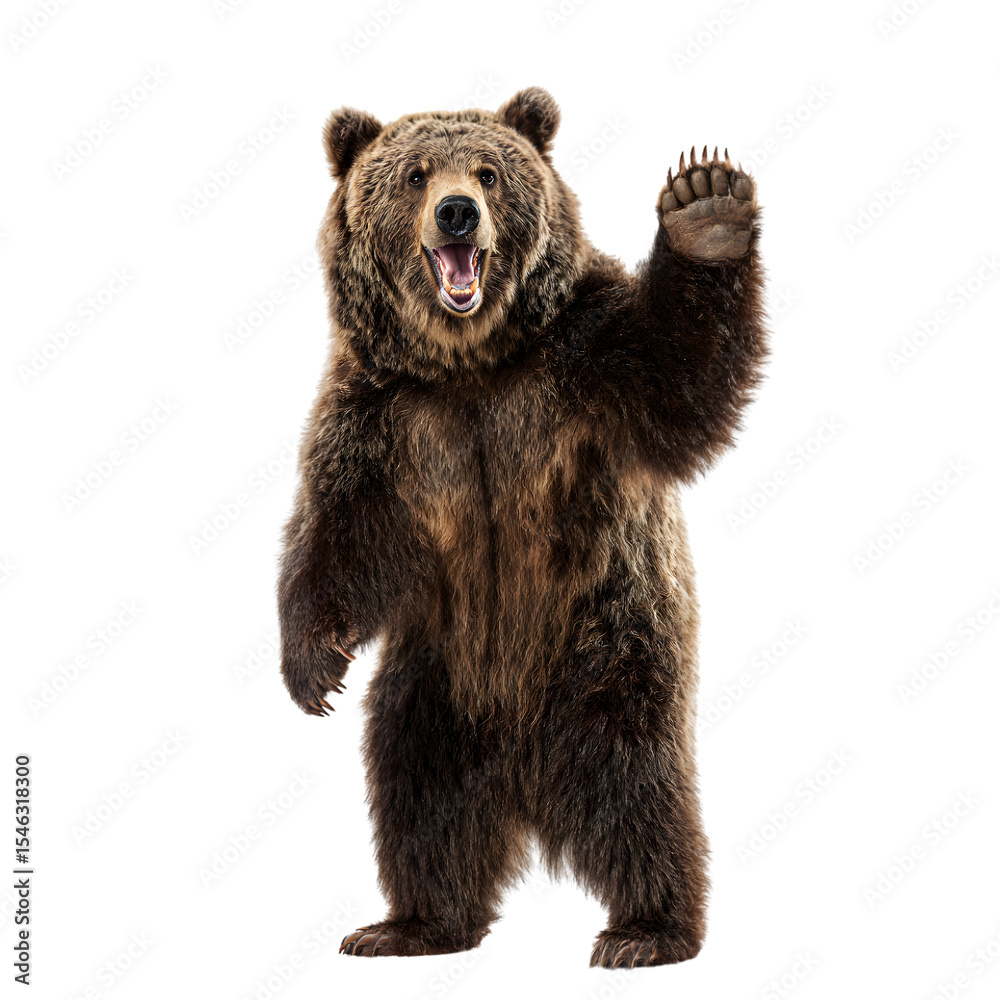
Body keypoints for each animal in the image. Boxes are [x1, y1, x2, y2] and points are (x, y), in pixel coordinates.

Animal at [277, 86, 766, 968]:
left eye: (489, 171)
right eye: (414, 173)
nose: (458, 214)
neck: (471, 364)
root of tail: (523, 771)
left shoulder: (584, 362)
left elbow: (681, 379)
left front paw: (704, 207)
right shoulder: (379, 415)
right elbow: (335, 530)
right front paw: (313, 666)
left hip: (608, 648)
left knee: (640, 790)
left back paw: (647, 930)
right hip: (434, 674)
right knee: (418, 792)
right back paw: (409, 924)